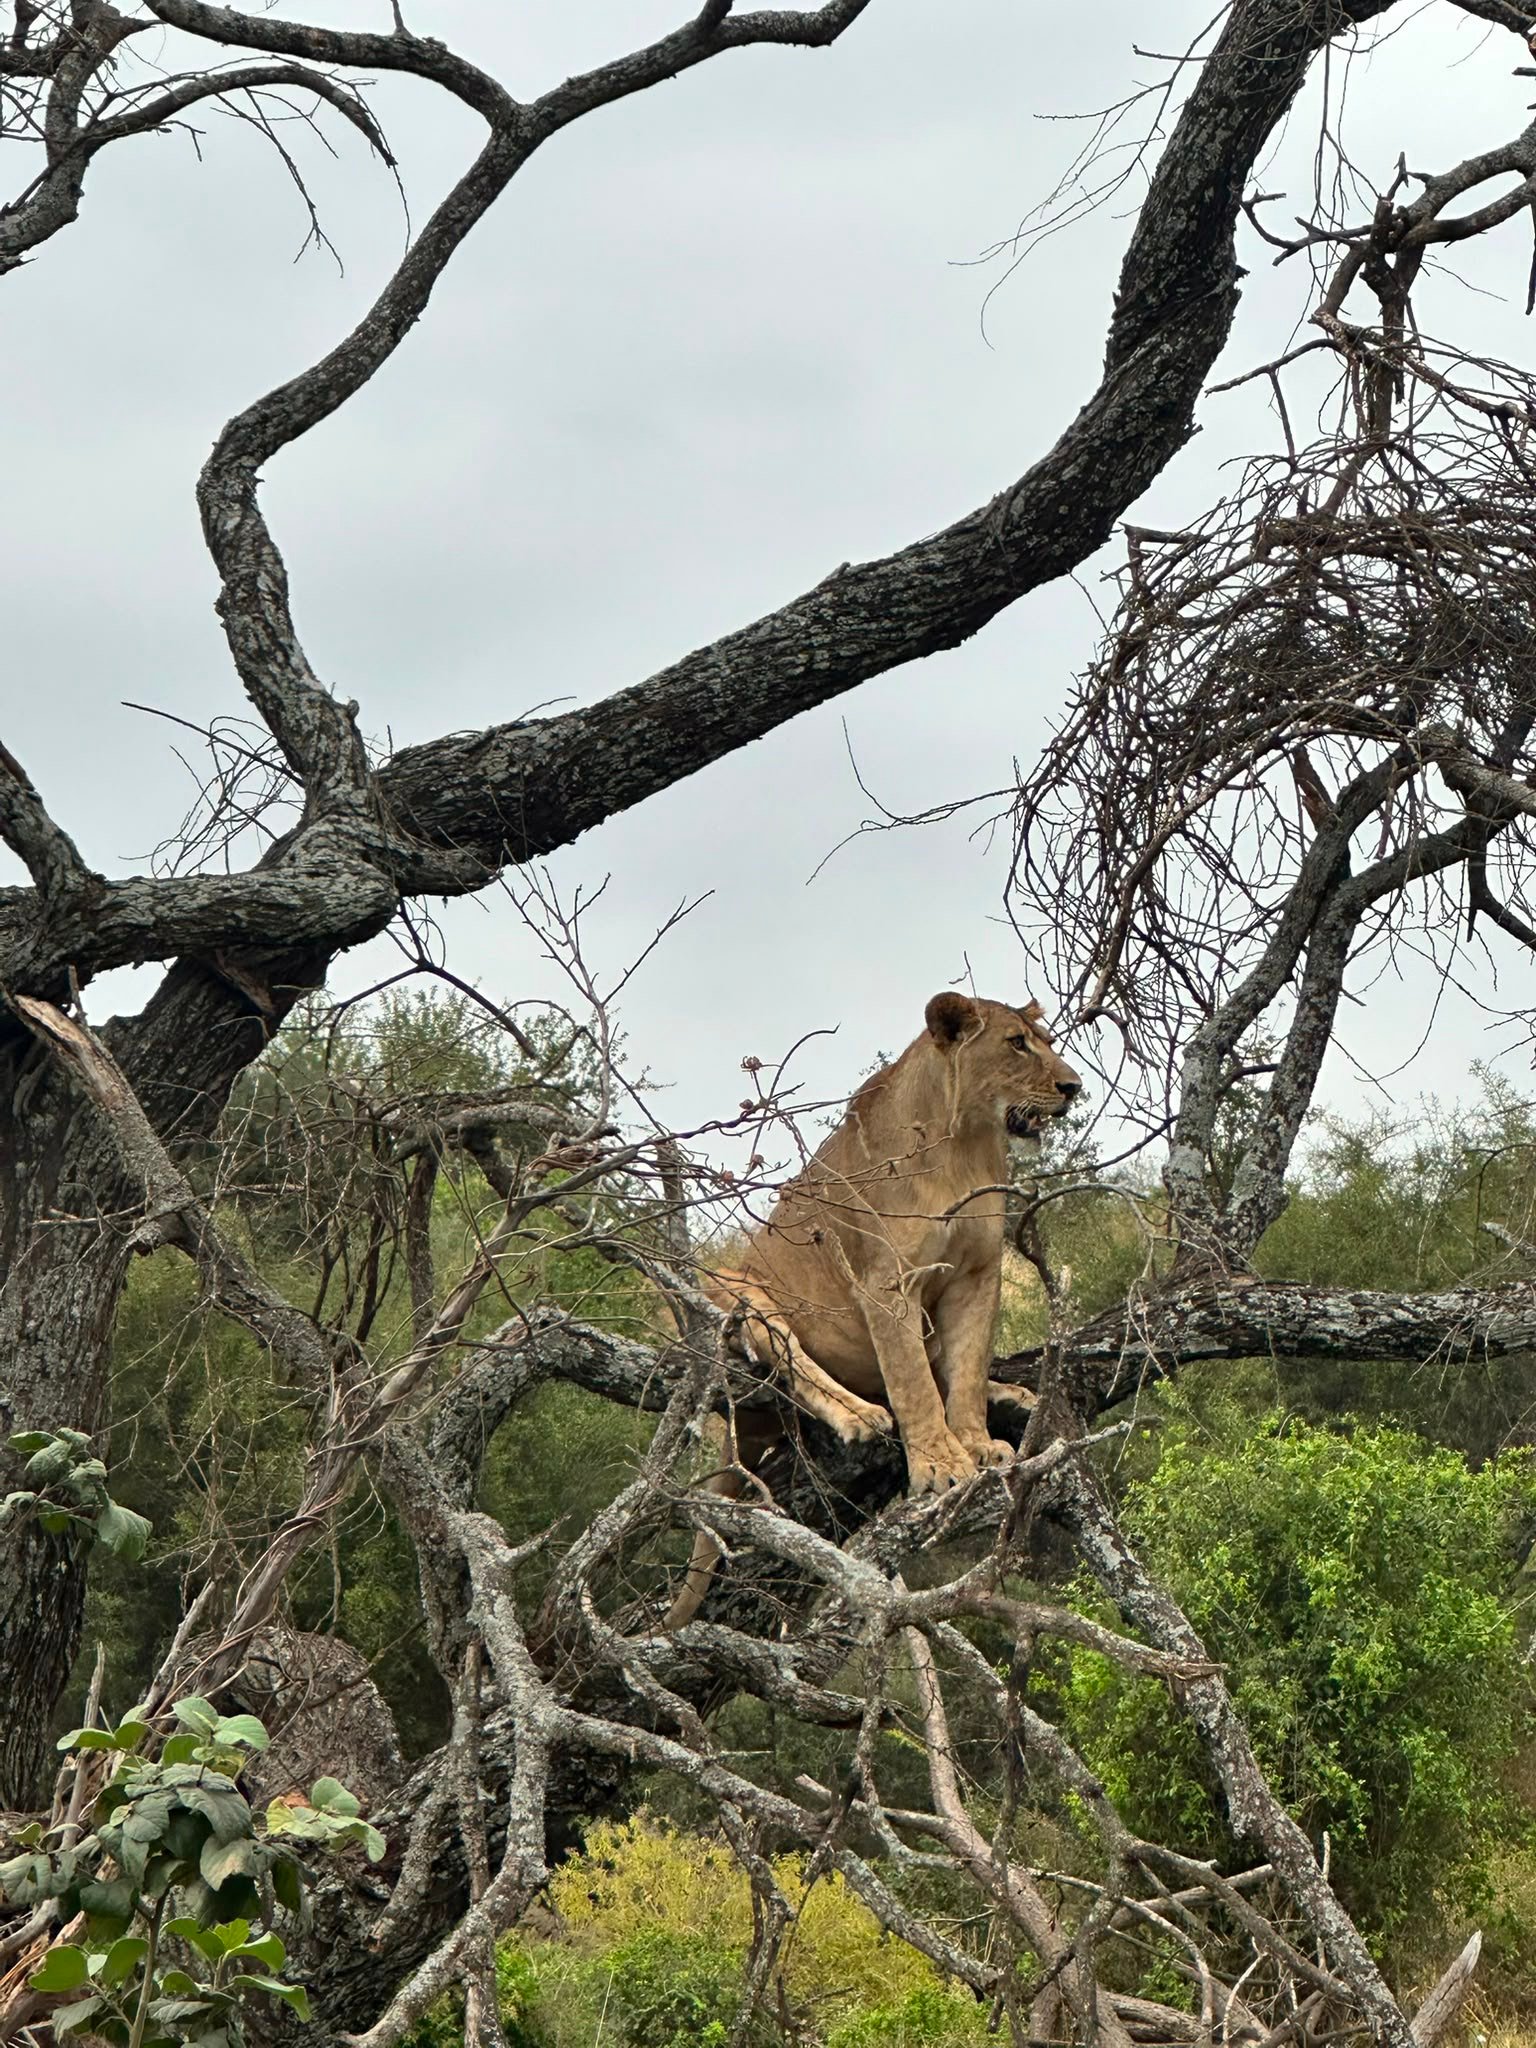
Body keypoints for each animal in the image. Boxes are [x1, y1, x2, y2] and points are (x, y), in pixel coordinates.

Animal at [667, 991, 1082, 1626]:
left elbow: (964, 1369)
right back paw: (859, 1415)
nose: (1073, 1086)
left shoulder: (979, 1274)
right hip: (734, 1288)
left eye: (1045, 1041)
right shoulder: (888, 1283)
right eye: (1016, 1044)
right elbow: (912, 1383)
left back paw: (1012, 1393)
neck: (964, 1143)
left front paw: (976, 1440)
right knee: (797, 1365)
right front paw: (940, 1463)